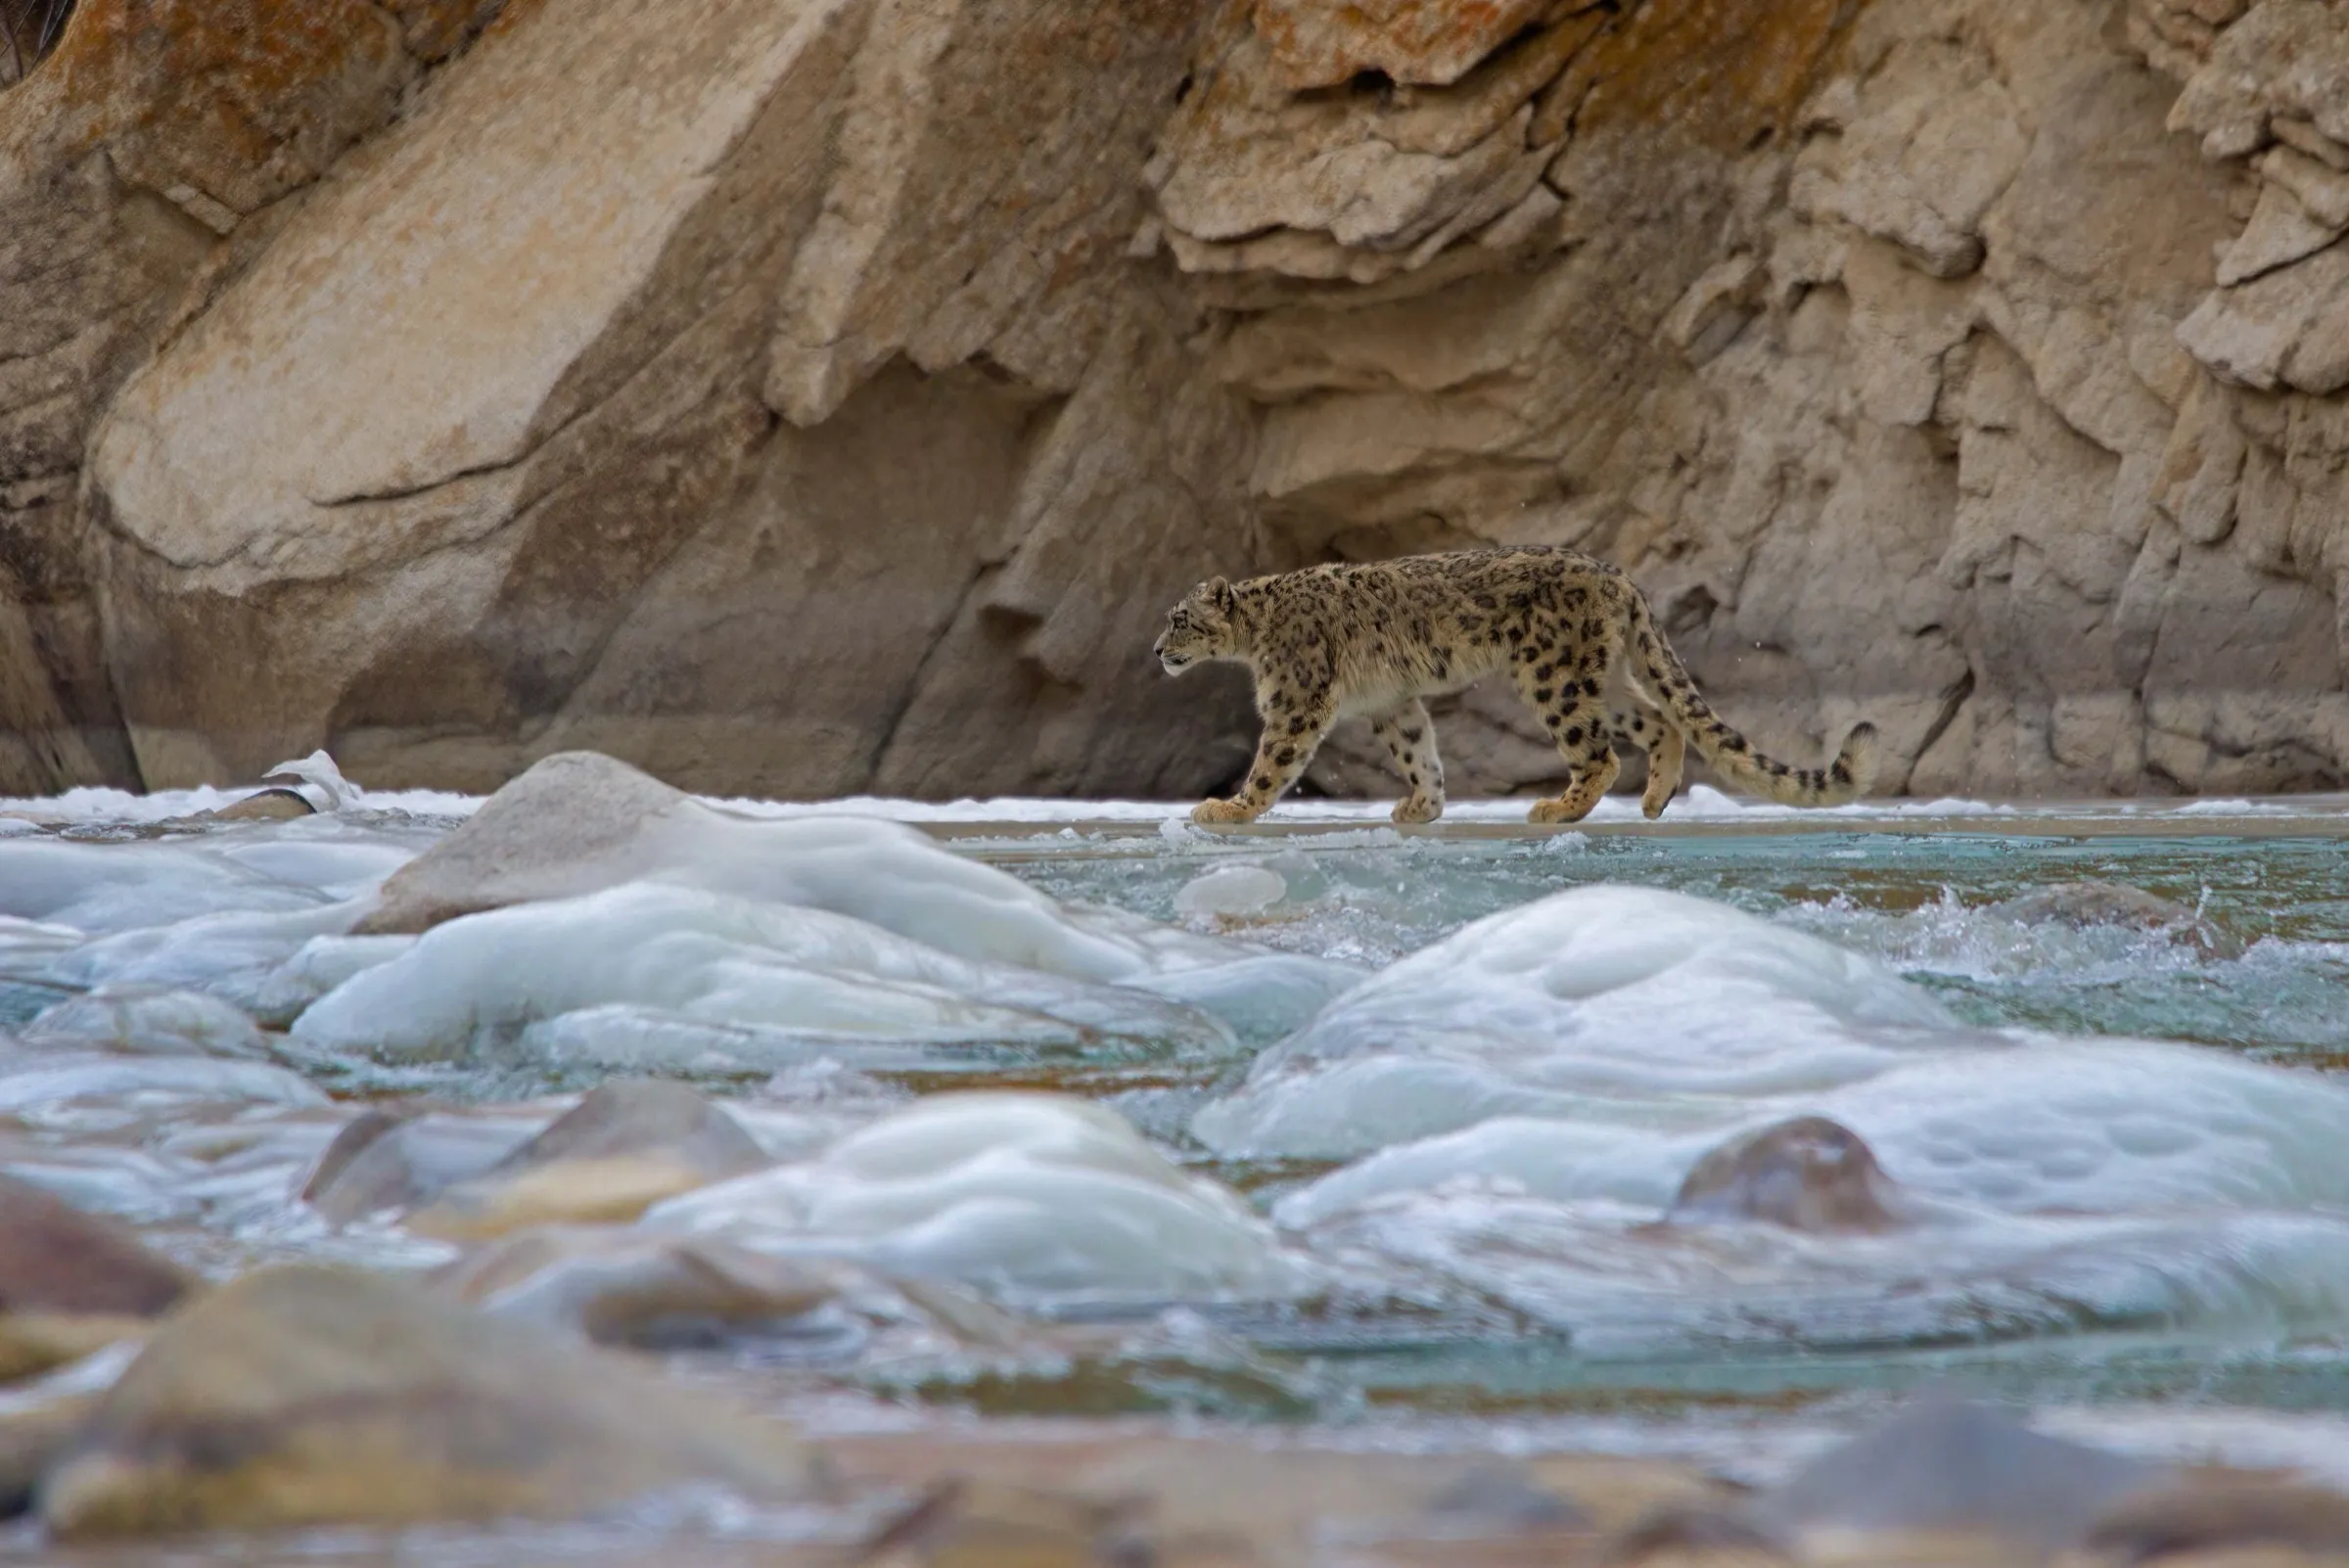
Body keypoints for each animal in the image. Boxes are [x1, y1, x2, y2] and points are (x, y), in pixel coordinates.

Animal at [1153, 545, 1878, 826]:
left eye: (1179, 618)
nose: (1157, 652)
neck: (1256, 636)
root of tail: (1615, 574)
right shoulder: (1392, 703)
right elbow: (1418, 751)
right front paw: (1422, 806)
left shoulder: (1296, 699)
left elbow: (1273, 761)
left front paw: (1227, 809)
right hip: (1600, 677)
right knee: (1658, 719)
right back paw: (1655, 799)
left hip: (1553, 674)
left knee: (1600, 753)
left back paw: (1558, 807)